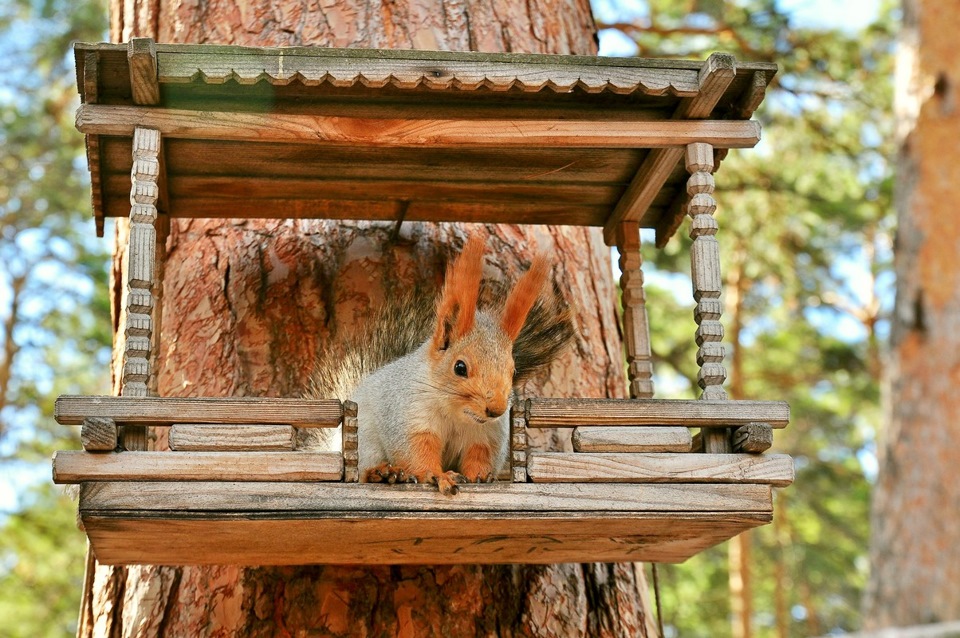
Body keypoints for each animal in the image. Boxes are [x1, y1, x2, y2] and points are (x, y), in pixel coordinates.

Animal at [308, 235, 572, 496]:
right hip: (366, 442)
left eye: (513, 370)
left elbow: (479, 455)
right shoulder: (410, 418)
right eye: (460, 367)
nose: (496, 409)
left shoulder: (486, 435)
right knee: (363, 471)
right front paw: (439, 476)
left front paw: (482, 476)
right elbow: (418, 453)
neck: (456, 414)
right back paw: (382, 473)